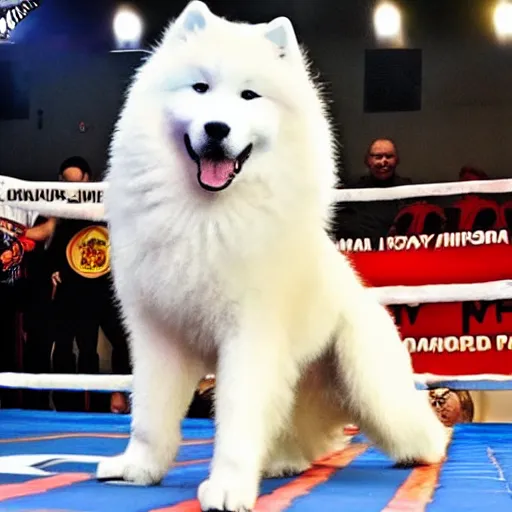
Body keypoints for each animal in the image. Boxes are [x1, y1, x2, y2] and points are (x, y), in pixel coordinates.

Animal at [96, 2, 448, 510]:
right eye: (199, 88)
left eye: (249, 95)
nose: (217, 129)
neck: (207, 216)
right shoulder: (159, 336)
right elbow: (149, 416)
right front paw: (139, 470)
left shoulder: (251, 336)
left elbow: (238, 417)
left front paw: (228, 488)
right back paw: (285, 462)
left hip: (372, 385)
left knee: (417, 426)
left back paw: (428, 455)